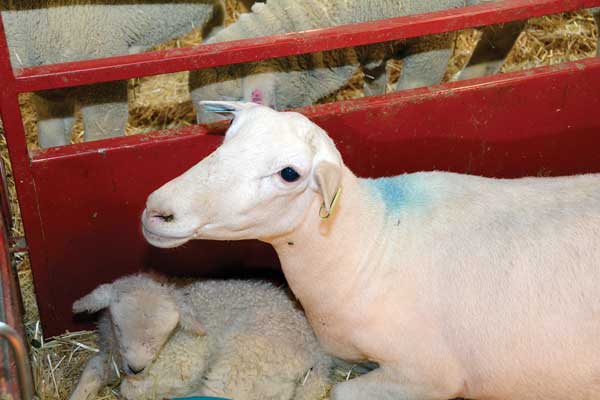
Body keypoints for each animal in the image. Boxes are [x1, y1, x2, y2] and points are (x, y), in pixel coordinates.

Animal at [71, 274, 332, 400]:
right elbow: (93, 369)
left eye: (164, 333)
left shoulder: (187, 359)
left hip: (243, 360)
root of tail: (317, 354)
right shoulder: (109, 355)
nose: (136, 368)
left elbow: (129, 389)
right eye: (117, 325)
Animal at [142, 102, 600, 400]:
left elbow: (341, 394)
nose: (158, 211)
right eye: (228, 136)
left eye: (289, 174)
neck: (368, 244)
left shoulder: (426, 373)